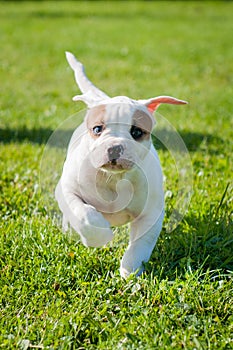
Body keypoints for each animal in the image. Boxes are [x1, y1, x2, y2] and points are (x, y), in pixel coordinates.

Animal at [55, 52, 187, 278]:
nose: (115, 147)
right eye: (97, 129)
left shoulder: (151, 212)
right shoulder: (67, 190)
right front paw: (99, 235)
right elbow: (84, 214)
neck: (113, 178)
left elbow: (141, 243)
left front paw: (130, 270)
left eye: (137, 132)